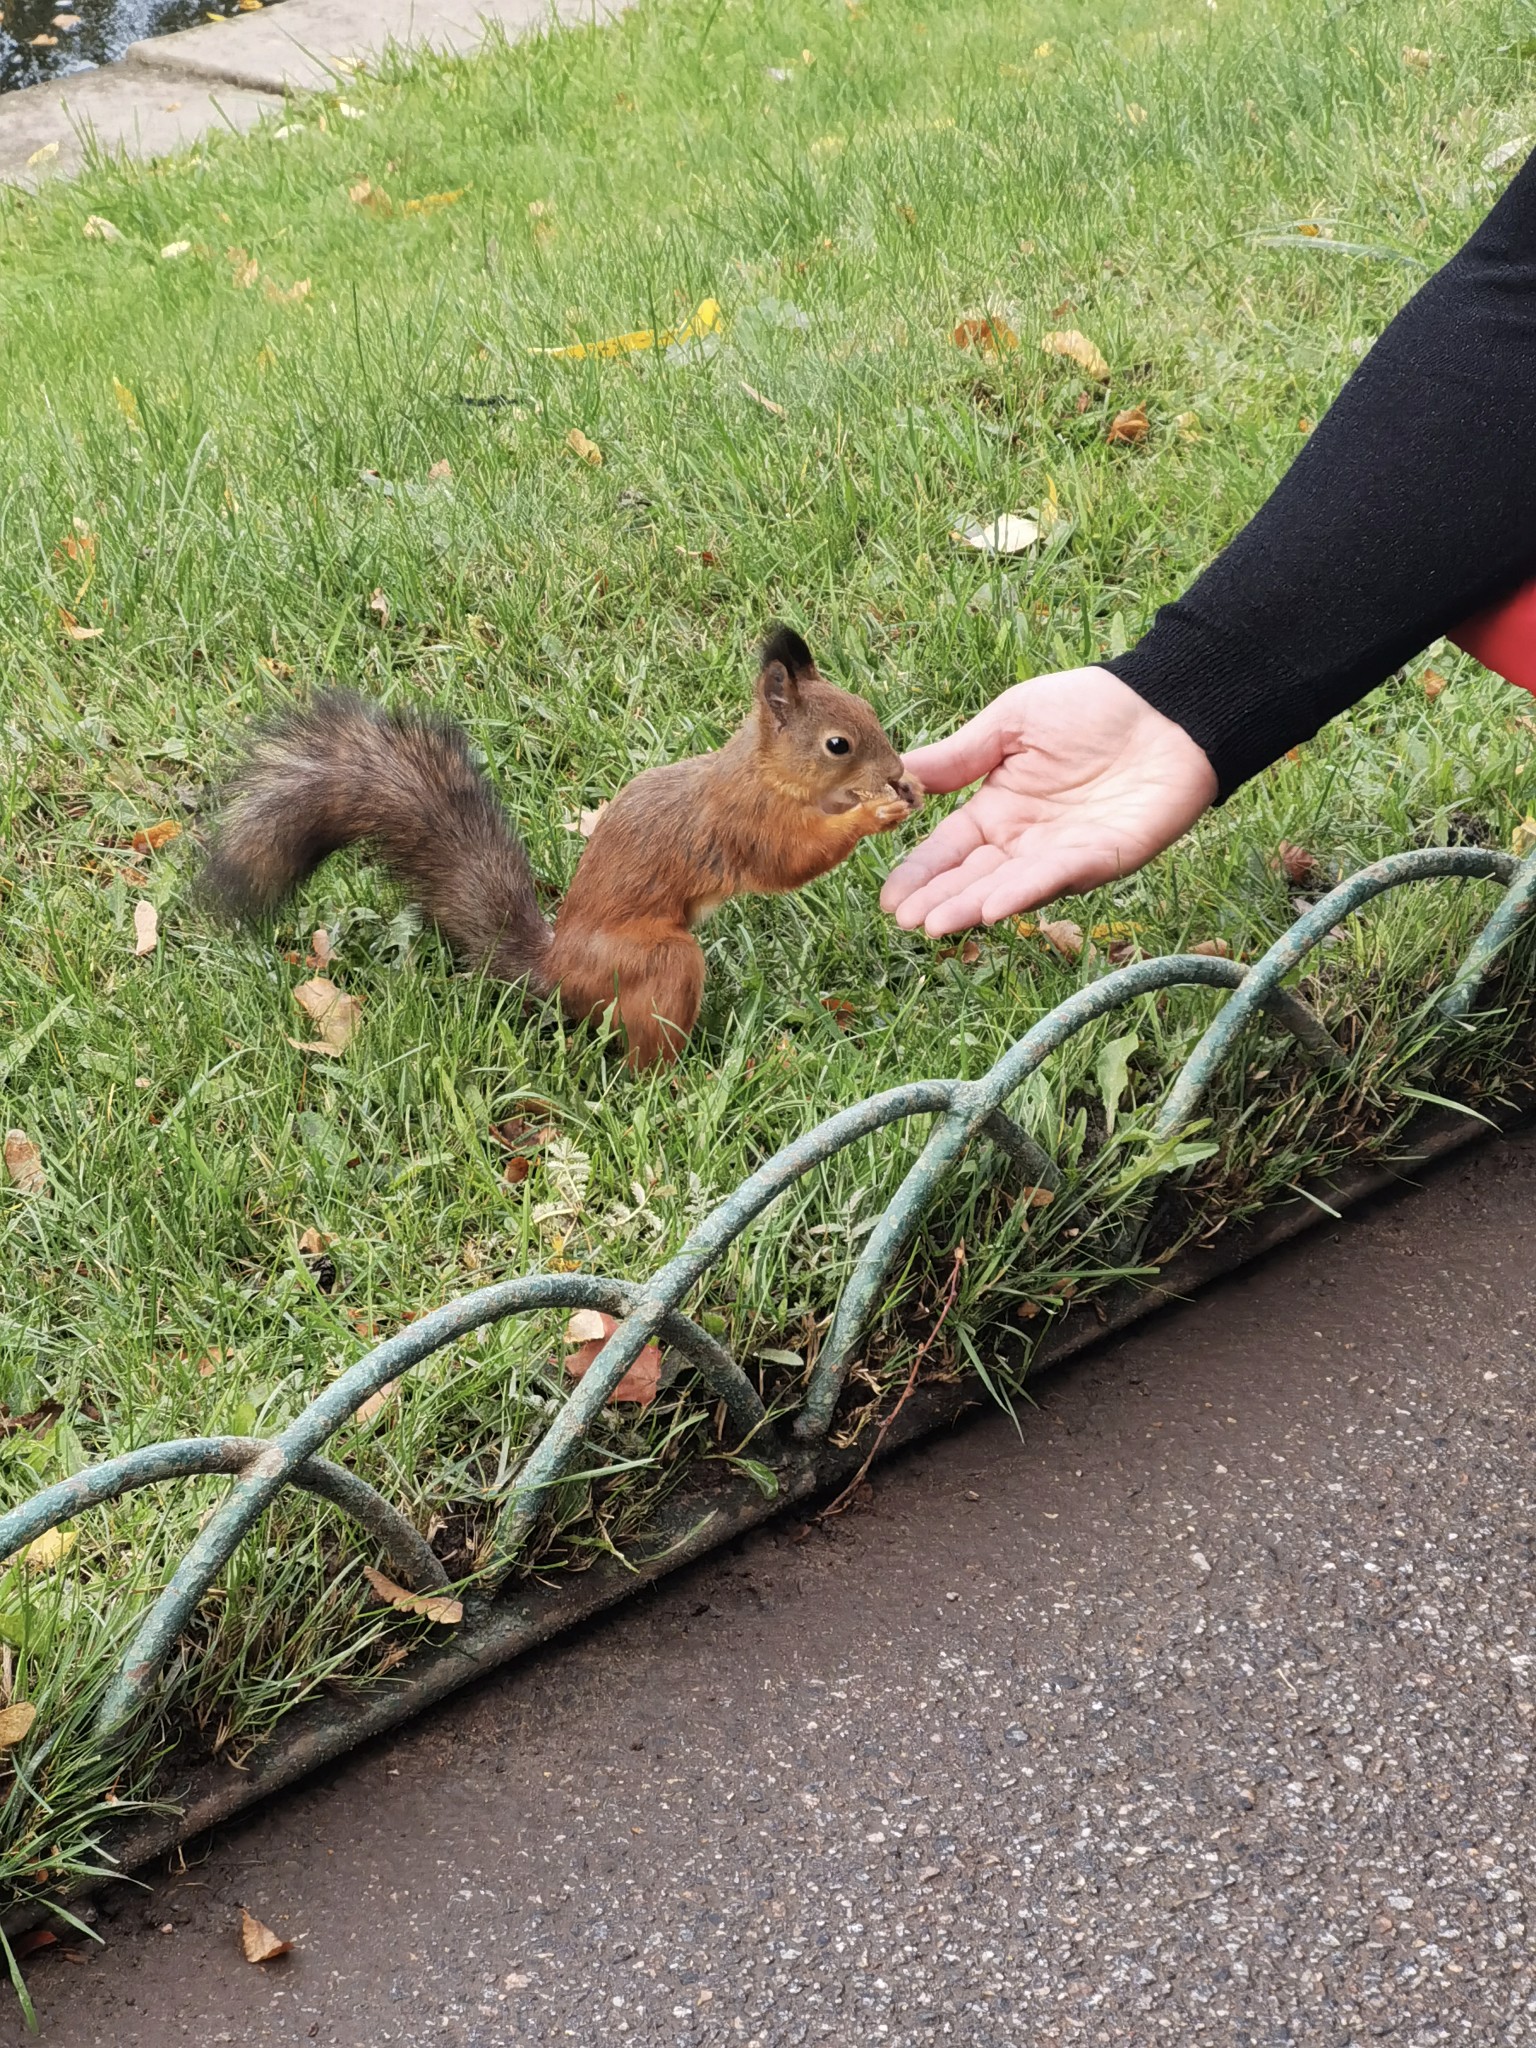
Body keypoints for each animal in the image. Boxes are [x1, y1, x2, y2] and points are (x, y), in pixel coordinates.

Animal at [204, 622, 925, 1073]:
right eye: (837, 744)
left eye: (867, 710)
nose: (895, 770)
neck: (764, 771)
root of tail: (556, 974)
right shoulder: (746, 824)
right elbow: (791, 862)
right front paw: (875, 813)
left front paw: (907, 788)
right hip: (656, 962)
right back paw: (685, 1078)